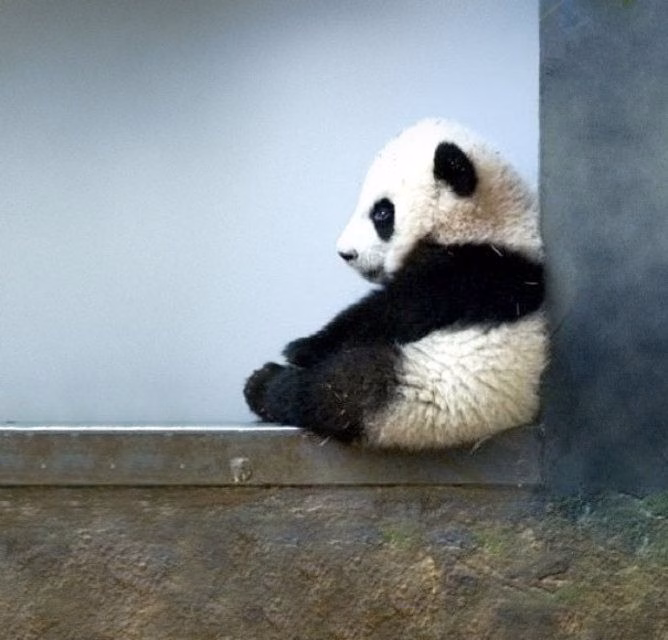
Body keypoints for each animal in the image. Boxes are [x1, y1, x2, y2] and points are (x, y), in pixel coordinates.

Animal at [244, 119, 546, 450]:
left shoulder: (478, 271)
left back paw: (266, 384)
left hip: (423, 385)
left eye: (382, 213)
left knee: (341, 389)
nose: (346, 253)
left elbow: (396, 310)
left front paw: (303, 347)